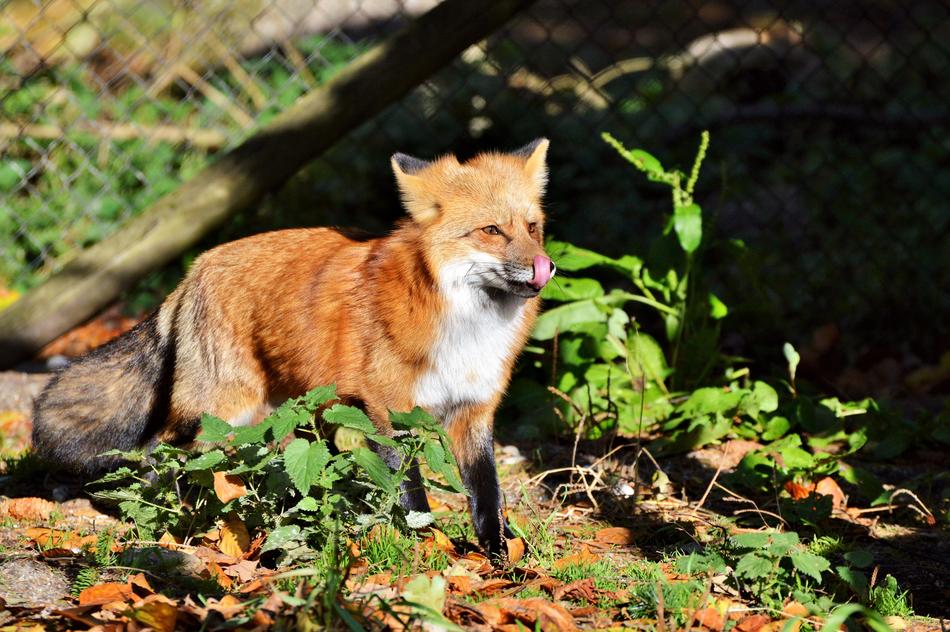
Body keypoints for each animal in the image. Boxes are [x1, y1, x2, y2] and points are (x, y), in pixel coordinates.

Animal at [32, 139, 555, 561]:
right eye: (491, 230)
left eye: (533, 228)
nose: (545, 267)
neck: (465, 329)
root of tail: (194, 268)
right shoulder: (388, 410)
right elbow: (407, 493)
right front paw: (420, 547)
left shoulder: (474, 411)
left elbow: (487, 496)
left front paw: (502, 555)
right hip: (223, 409)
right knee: (163, 451)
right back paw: (176, 518)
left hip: (294, 410)